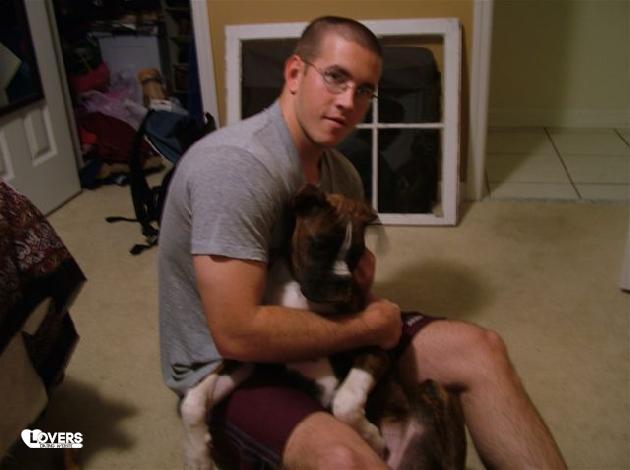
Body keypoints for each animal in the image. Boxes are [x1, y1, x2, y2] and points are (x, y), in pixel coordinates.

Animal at [180, 184, 466, 470]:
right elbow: (193, 399)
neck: (298, 291)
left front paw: (371, 437)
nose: (342, 283)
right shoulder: (250, 359)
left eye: (357, 253)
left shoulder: (377, 349)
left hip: (434, 390)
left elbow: (344, 401)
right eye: (320, 244)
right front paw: (197, 457)